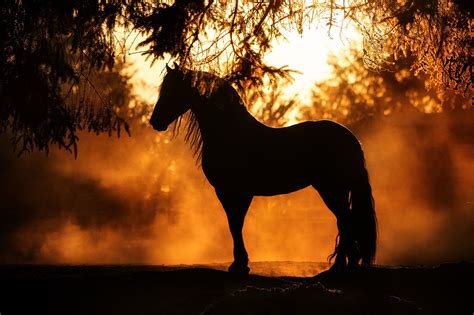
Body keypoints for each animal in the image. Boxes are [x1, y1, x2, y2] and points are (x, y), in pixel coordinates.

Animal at [150, 63, 376, 274]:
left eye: (172, 90)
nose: (155, 122)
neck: (230, 132)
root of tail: (351, 139)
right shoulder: (234, 192)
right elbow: (235, 224)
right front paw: (240, 263)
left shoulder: (234, 191)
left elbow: (235, 224)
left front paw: (239, 264)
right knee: (345, 222)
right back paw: (347, 264)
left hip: (331, 189)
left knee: (345, 221)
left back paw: (339, 267)